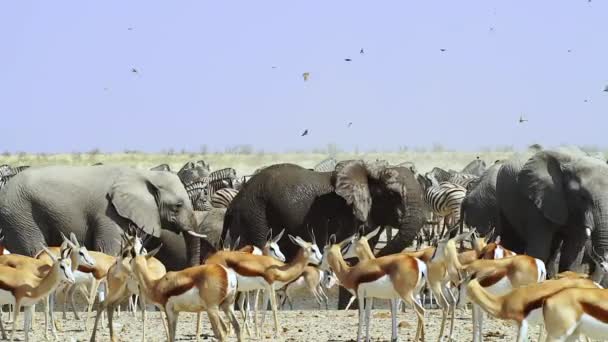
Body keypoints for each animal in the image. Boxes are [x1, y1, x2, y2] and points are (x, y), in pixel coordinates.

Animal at [0, 165, 205, 270]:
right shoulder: (109, 213)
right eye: (178, 206)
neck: (143, 174)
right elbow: (109, 249)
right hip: (20, 216)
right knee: (32, 250)